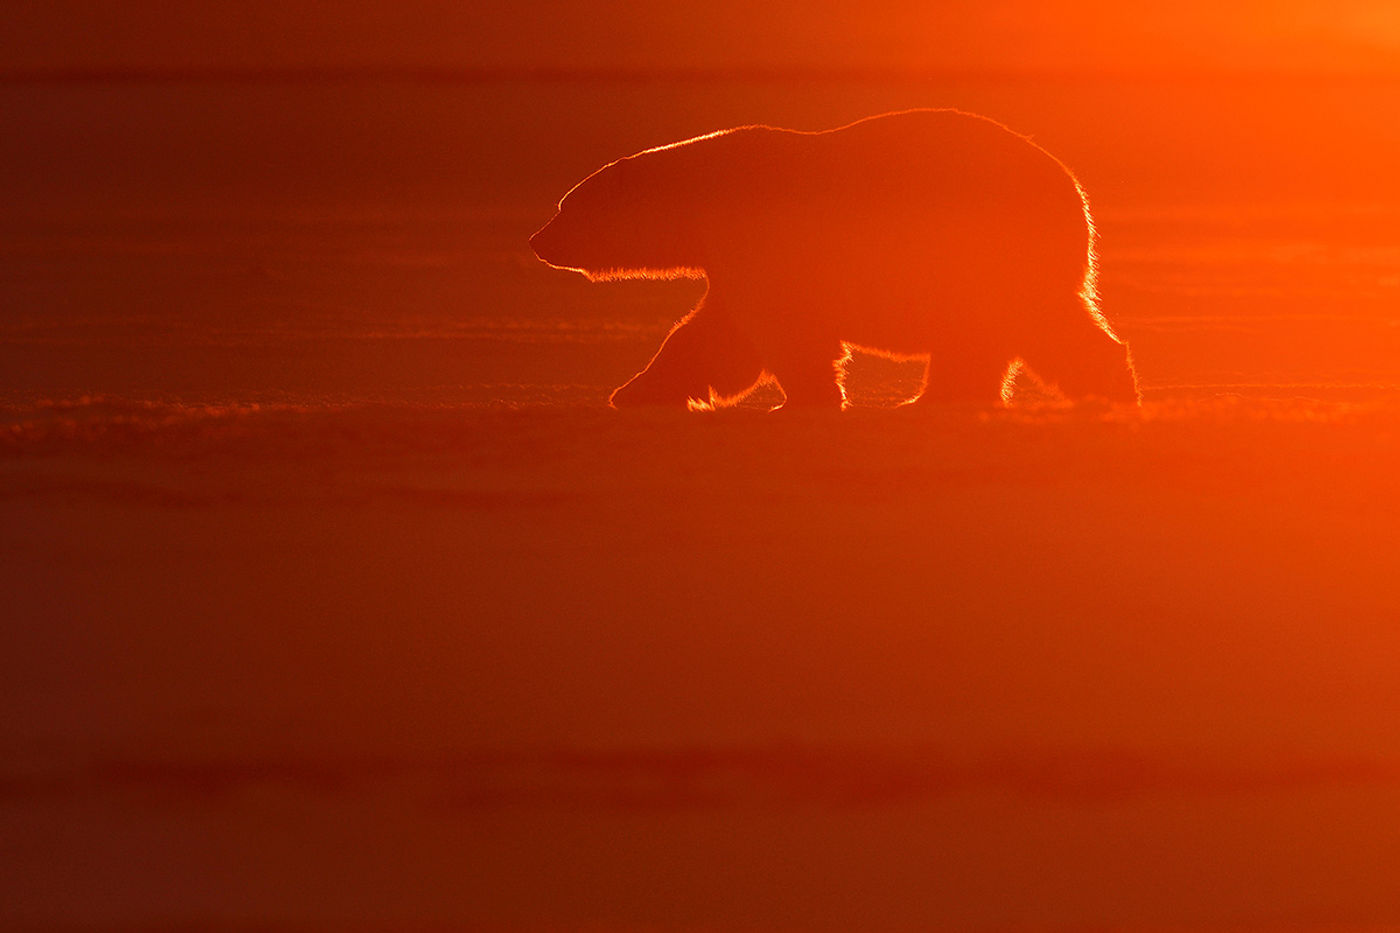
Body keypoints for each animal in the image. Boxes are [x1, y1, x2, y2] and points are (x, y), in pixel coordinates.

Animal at [526, 109, 1136, 406]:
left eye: (564, 206)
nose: (537, 241)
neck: (705, 199)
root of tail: (1074, 192)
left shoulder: (764, 241)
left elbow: (782, 331)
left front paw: (806, 399)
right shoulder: (734, 258)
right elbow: (716, 332)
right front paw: (637, 391)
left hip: (989, 252)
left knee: (1029, 325)